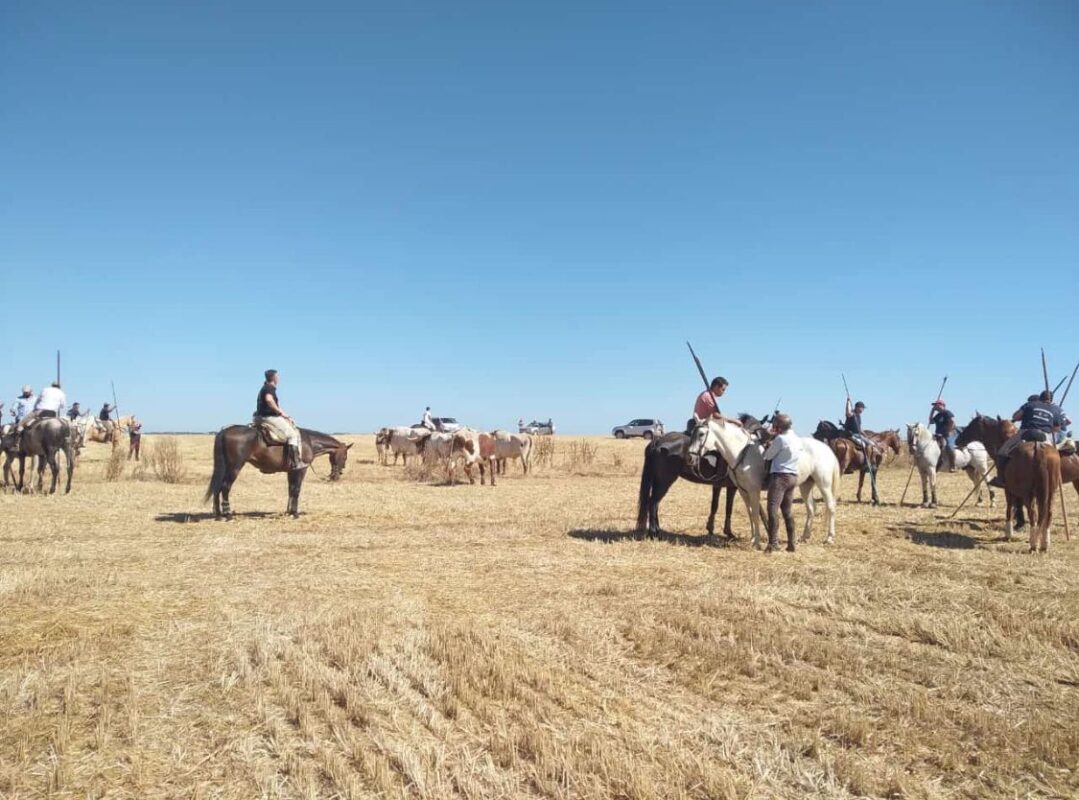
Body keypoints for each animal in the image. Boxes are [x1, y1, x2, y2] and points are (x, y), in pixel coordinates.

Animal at [205, 425, 352, 519]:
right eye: (345, 456)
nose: (336, 476)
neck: (308, 442)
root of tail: (224, 431)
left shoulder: (291, 471)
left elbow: (291, 489)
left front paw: (289, 511)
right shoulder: (300, 470)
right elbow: (296, 490)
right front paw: (295, 513)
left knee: (217, 487)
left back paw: (218, 514)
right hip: (234, 468)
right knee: (225, 487)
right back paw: (228, 514)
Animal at [688, 417, 840, 548]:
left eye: (701, 434)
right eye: (692, 433)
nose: (690, 457)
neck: (742, 452)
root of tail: (827, 448)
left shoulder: (754, 490)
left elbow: (755, 513)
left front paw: (757, 542)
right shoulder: (743, 491)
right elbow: (750, 513)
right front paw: (753, 538)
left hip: (824, 484)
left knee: (831, 506)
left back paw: (830, 538)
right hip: (806, 485)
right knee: (811, 508)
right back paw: (804, 537)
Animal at [956, 415, 1060, 550]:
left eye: (971, 425)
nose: (958, 440)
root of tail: (1038, 448)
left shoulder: (1008, 489)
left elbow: (1010, 508)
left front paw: (1009, 533)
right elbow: (1018, 506)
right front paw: (1019, 525)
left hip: (1028, 493)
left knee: (1033, 513)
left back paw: (1033, 544)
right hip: (1050, 492)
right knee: (1048, 513)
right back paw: (1044, 543)